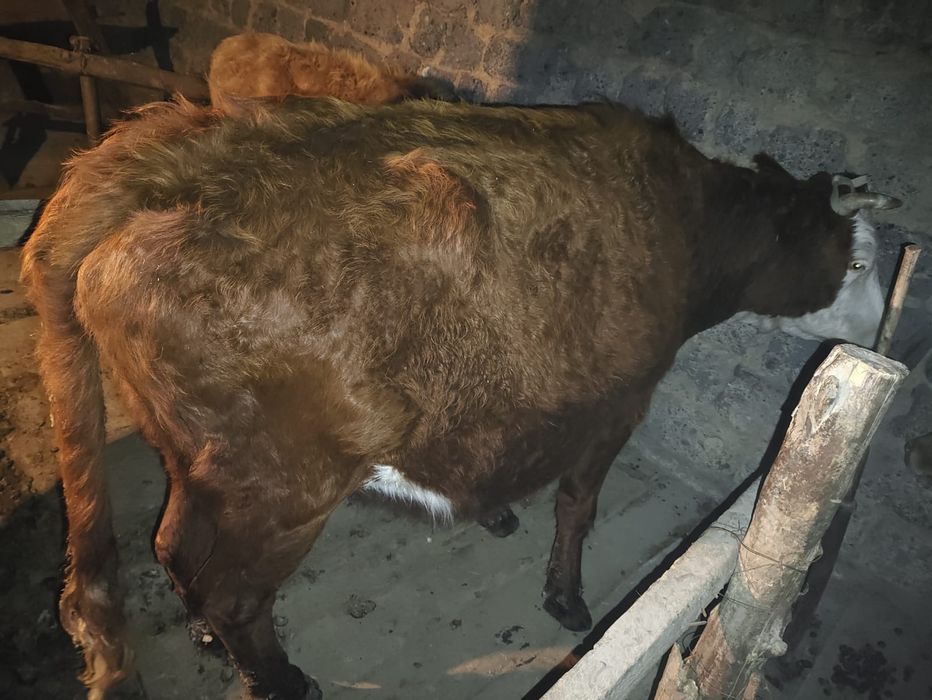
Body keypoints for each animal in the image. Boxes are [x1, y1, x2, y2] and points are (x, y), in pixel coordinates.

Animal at [20, 96, 900, 699]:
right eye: (855, 262)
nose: (881, 332)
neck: (685, 226)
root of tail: (152, 165)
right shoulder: (621, 400)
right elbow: (577, 503)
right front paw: (565, 596)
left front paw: (497, 514)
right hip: (284, 487)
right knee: (237, 592)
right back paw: (279, 679)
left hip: (199, 460)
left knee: (177, 548)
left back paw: (205, 633)